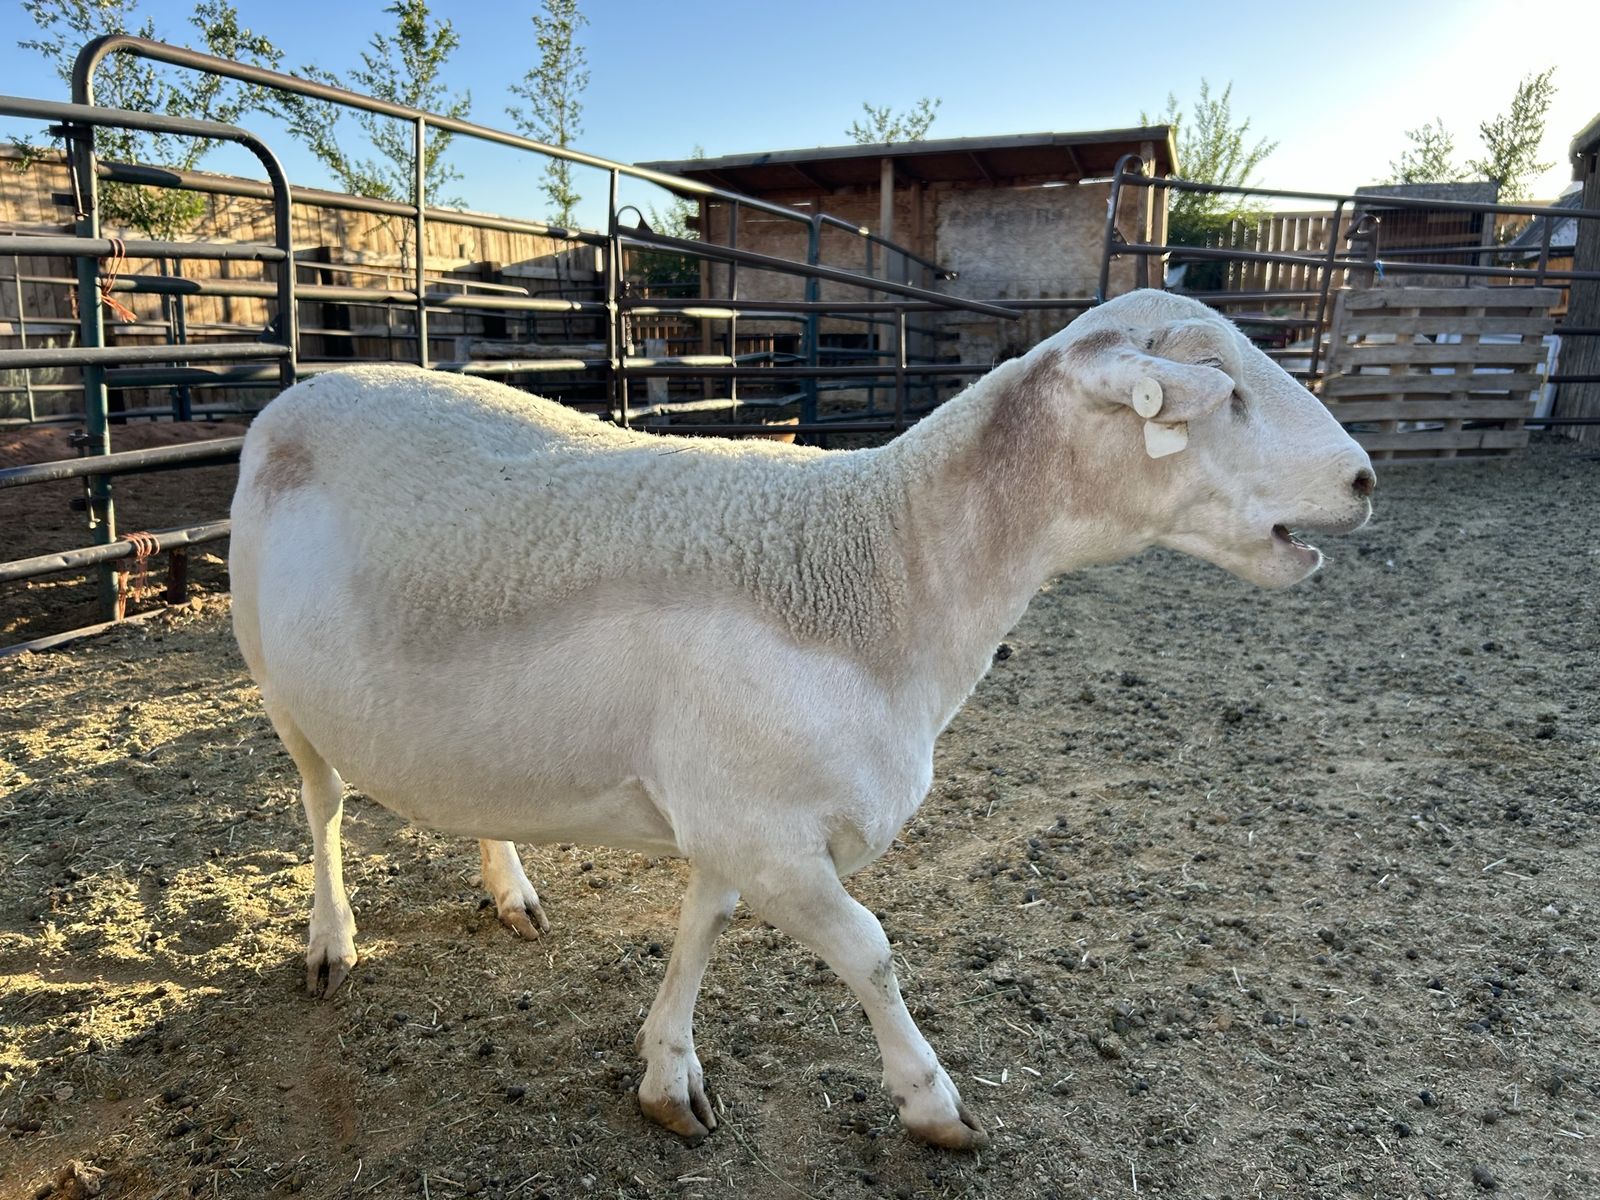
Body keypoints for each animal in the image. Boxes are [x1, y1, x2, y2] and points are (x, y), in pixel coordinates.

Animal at [228, 288, 1374, 1150]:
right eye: (1221, 386)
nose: (1364, 479)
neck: (884, 572)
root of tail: (308, 385)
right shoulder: (765, 829)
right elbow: (871, 953)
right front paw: (932, 1103)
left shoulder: (736, 818)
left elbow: (701, 929)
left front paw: (668, 1074)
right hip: (277, 682)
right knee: (322, 807)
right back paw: (330, 940)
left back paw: (510, 887)